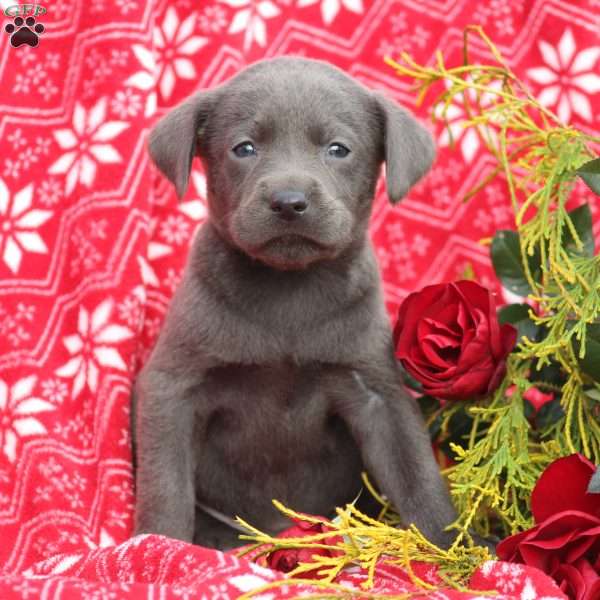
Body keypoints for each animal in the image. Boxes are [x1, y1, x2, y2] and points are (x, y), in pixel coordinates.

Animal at [134, 56, 458, 548]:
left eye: (339, 149)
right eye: (244, 148)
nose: (289, 201)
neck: (289, 291)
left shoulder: (378, 392)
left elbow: (418, 476)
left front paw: (455, 548)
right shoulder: (172, 387)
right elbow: (165, 486)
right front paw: (155, 547)